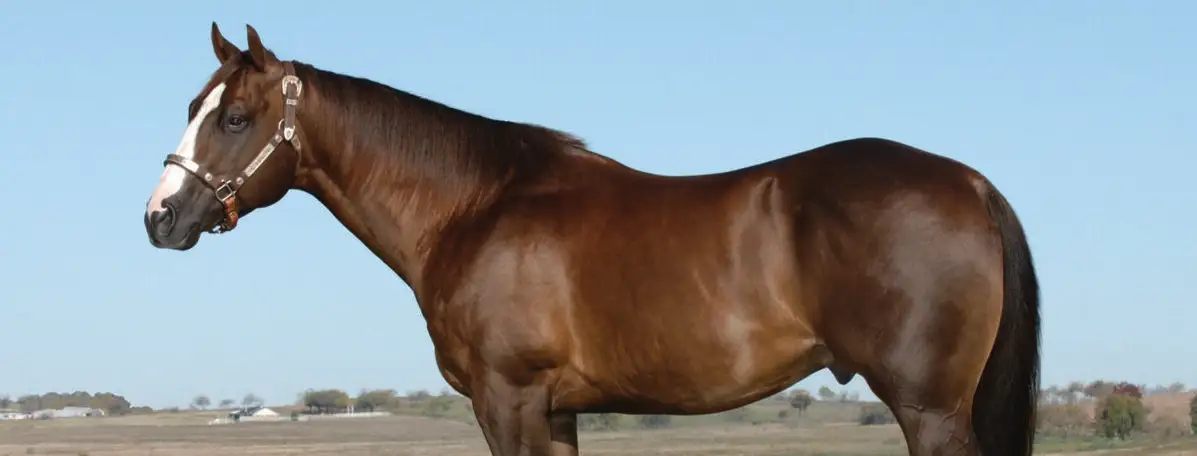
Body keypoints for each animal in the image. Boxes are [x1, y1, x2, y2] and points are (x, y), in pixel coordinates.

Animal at [143, 23, 1040, 456]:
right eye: (193, 105)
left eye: (234, 116)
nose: (160, 217)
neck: (476, 205)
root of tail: (969, 183)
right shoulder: (558, 409)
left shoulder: (507, 398)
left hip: (927, 408)